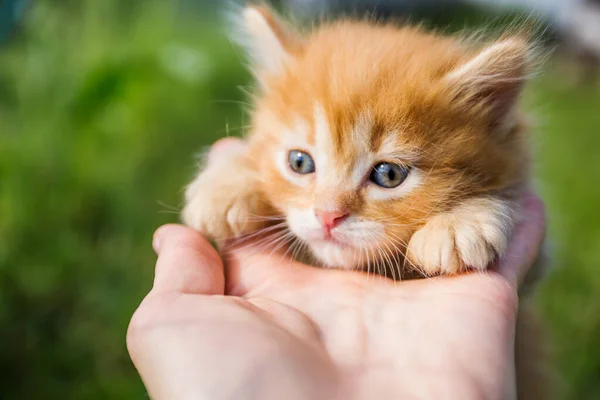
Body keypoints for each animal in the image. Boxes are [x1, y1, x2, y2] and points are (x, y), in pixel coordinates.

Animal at [184, 4, 552, 398]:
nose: (328, 215)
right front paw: (226, 182)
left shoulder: (535, 277)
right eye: (300, 163)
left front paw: (461, 221)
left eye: (388, 175)